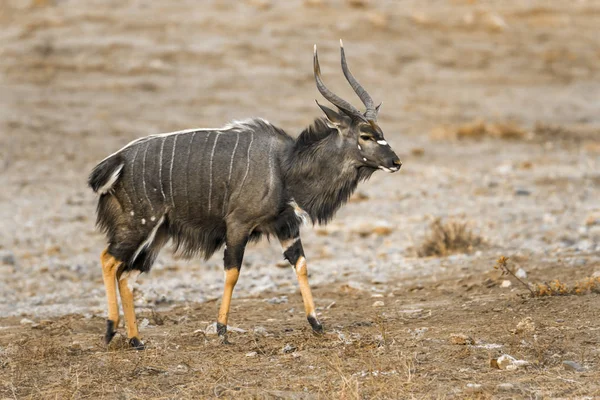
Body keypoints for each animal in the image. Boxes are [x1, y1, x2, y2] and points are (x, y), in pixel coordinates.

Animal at [88, 39, 398, 348]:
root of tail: (116, 162)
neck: (285, 165)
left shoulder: (286, 225)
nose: (396, 162)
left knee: (127, 274)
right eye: (365, 136)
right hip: (139, 224)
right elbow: (233, 271)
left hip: (158, 233)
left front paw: (316, 324)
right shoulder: (238, 224)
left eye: (380, 131)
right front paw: (222, 329)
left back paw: (136, 340)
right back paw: (110, 328)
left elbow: (300, 265)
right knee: (109, 259)